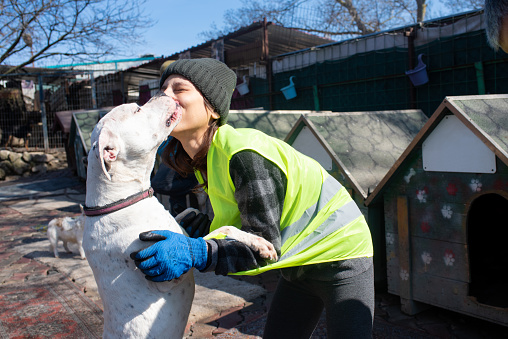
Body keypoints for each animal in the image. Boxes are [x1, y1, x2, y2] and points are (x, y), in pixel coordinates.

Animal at [82, 93, 278, 339]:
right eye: (137, 110)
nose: (162, 94)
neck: (119, 200)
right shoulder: (168, 277)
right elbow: (220, 231)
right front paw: (259, 243)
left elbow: (189, 215)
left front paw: (197, 219)